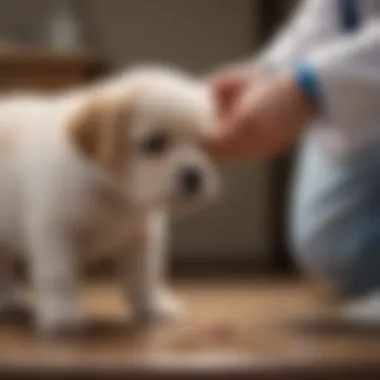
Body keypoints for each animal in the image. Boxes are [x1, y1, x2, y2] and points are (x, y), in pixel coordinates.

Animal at [0, 67, 220, 336]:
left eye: (206, 144)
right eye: (155, 143)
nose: (194, 176)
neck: (113, 193)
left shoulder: (142, 237)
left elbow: (145, 275)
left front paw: (153, 306)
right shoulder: (55, 233)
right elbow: (60, 277)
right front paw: (62, 315)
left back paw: (8, 300)